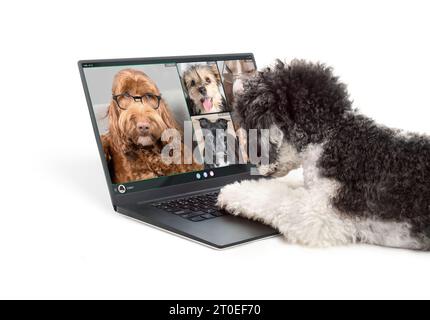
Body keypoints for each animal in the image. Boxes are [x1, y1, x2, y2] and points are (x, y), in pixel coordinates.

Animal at [218, 59, 430, 250]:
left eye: (251, 127)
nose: (255, 165)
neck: (331, 136)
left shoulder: (320, 215)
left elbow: (274, 197)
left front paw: (231, 191)